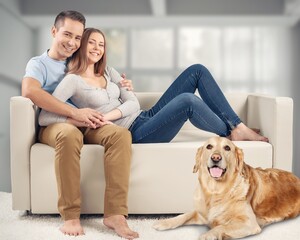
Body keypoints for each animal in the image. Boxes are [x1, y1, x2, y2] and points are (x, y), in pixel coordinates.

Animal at [154, 137, 298, 240]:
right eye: (209, 146)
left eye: (227, 148)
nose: (216, 157)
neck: (216, 191)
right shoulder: (201, 213)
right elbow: (184, 215)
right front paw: (164, 222)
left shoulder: (249, 223)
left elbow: (221, 227)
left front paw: (207, 235)